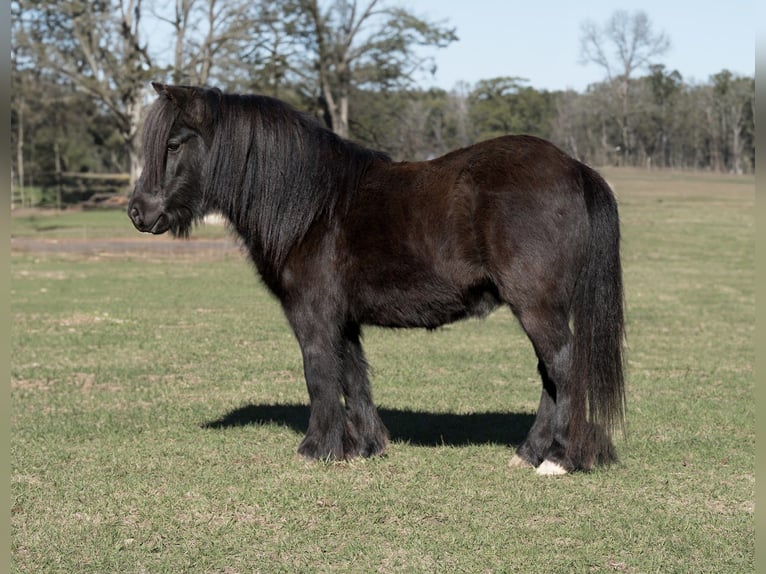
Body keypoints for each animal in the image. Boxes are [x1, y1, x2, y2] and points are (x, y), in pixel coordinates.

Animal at [128, 82, 625, 475]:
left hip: (536, 306)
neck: (313, 206)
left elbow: (320, 374)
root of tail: (575, 167)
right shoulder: (343, 318)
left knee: (563, 366)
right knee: (550, 374)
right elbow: (353, 376)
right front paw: (366, 446)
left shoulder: (312, 315)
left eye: (174, 144)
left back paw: (558, 460)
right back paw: (529, 453)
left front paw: (316, 450)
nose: (138, 212)